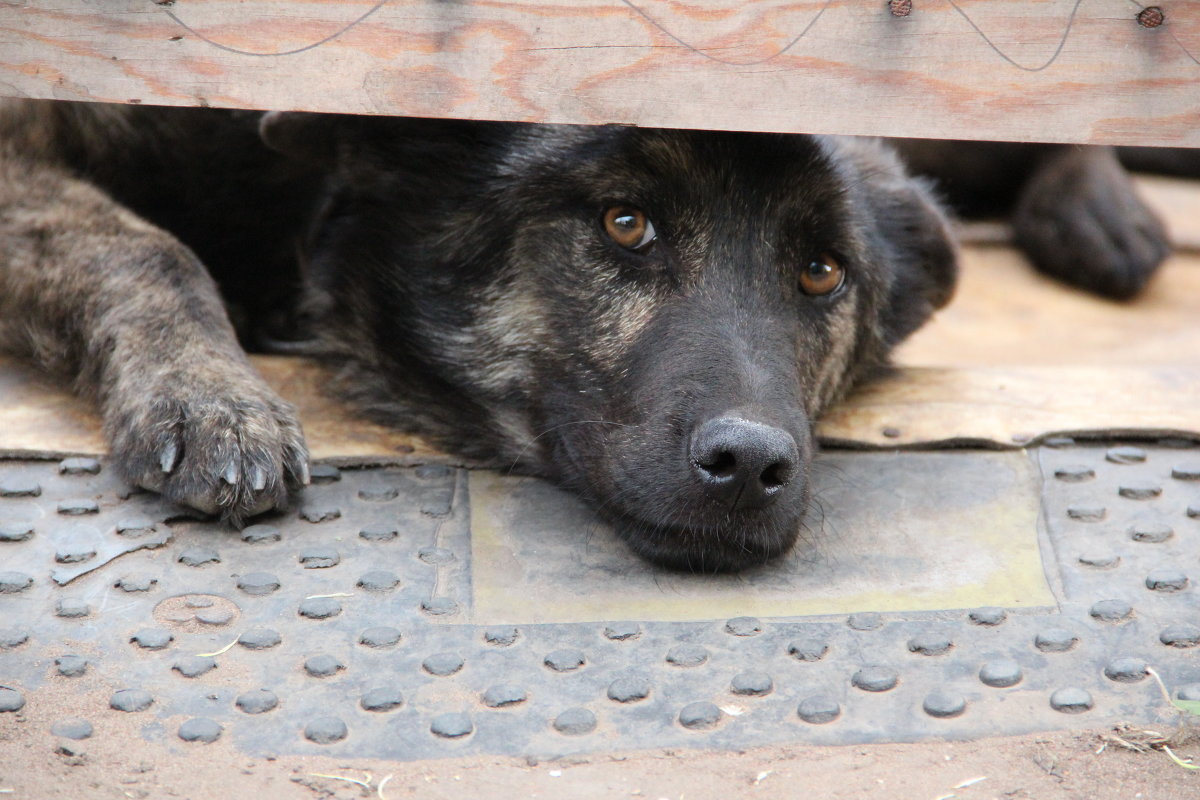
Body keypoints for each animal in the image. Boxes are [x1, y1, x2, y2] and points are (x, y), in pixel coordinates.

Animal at [0, 100, 1166, 573]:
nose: (752, 466)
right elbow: (145, 247)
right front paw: (208, 397)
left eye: (821, 270)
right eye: (625, 222)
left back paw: (1101, 210)